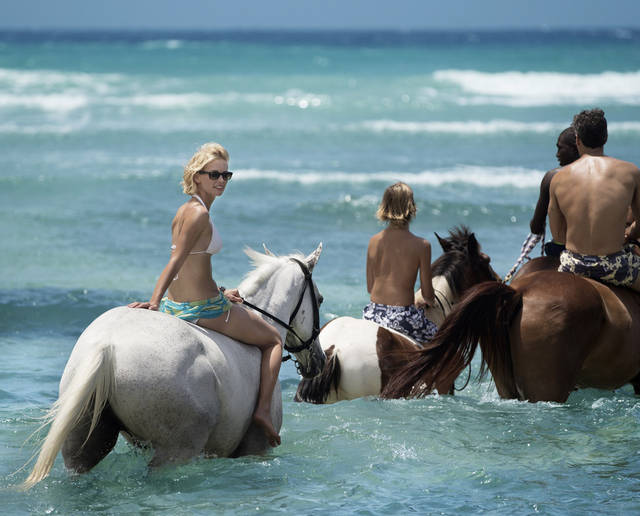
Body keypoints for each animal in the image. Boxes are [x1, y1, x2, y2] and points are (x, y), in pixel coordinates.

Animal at [22, 245, 325, 489]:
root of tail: (107, 347)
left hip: (83, 443)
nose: (319, 360)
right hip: (175, 450)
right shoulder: (256, 448)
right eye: (320, 300)